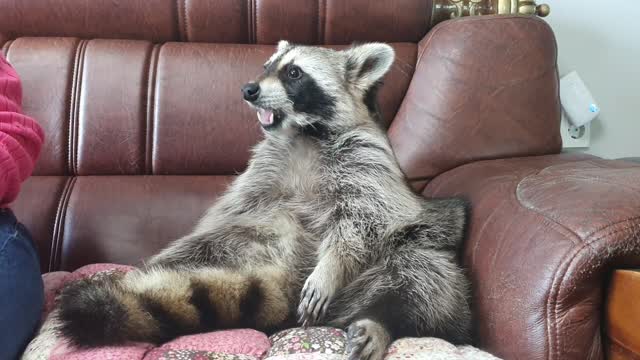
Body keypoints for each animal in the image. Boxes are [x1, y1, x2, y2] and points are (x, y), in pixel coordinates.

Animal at [55, 40, 472, 358]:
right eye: (267, 66)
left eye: (294, 73)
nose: (248, 90)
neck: (303, 134)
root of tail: (286, 276)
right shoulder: (264, 170)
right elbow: (231, 207)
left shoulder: (367, 161)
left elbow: (365, 219)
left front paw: (332, 266)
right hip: (239, 241)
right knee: (202, 243)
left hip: (408, 255)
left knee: (421, 274)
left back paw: (382, 319)